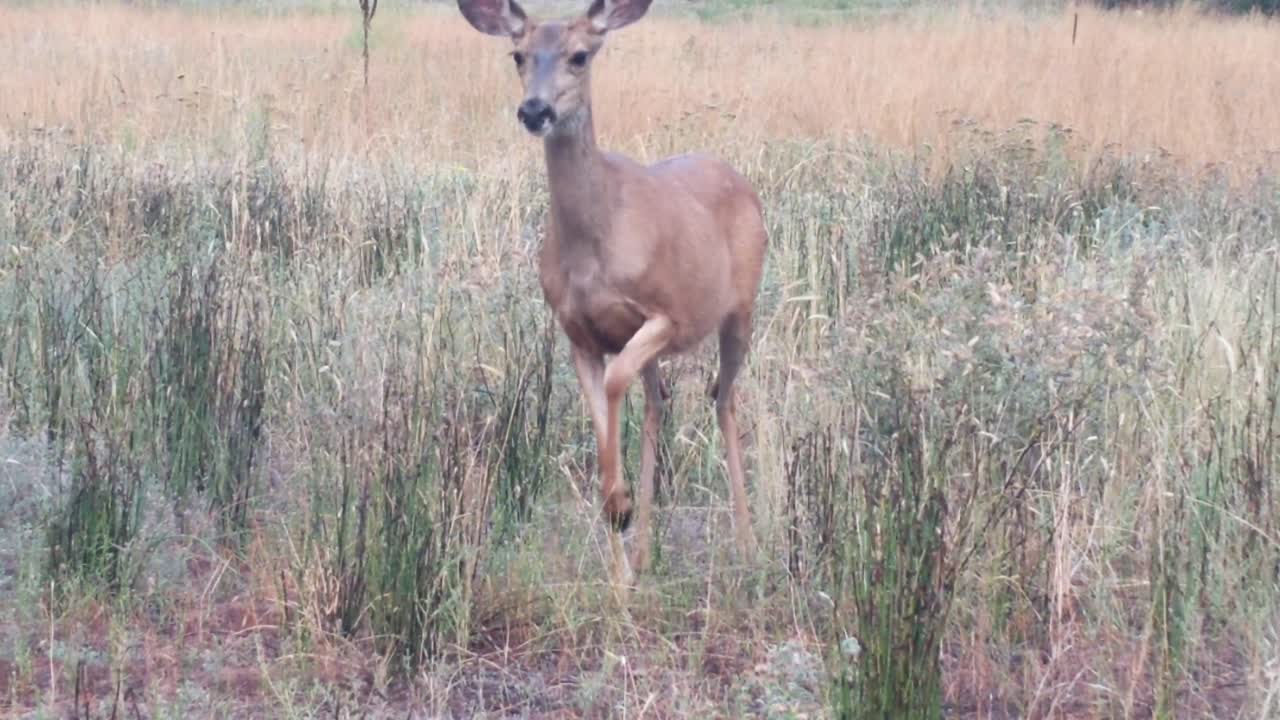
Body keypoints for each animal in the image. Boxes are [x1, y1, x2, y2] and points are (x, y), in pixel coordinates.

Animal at [457, 0, 767, 592]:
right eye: (518, 55)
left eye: (580, 55)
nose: (534, 110)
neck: (593, 249)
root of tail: (737, 176)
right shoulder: (578, 334)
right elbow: (605, 406)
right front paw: (619, 553)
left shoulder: (665, 314)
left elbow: (618, 380)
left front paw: (621, 507)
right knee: (659, 402)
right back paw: (645, 552)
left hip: (740, 309)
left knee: (723, 398)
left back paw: (746, 544)